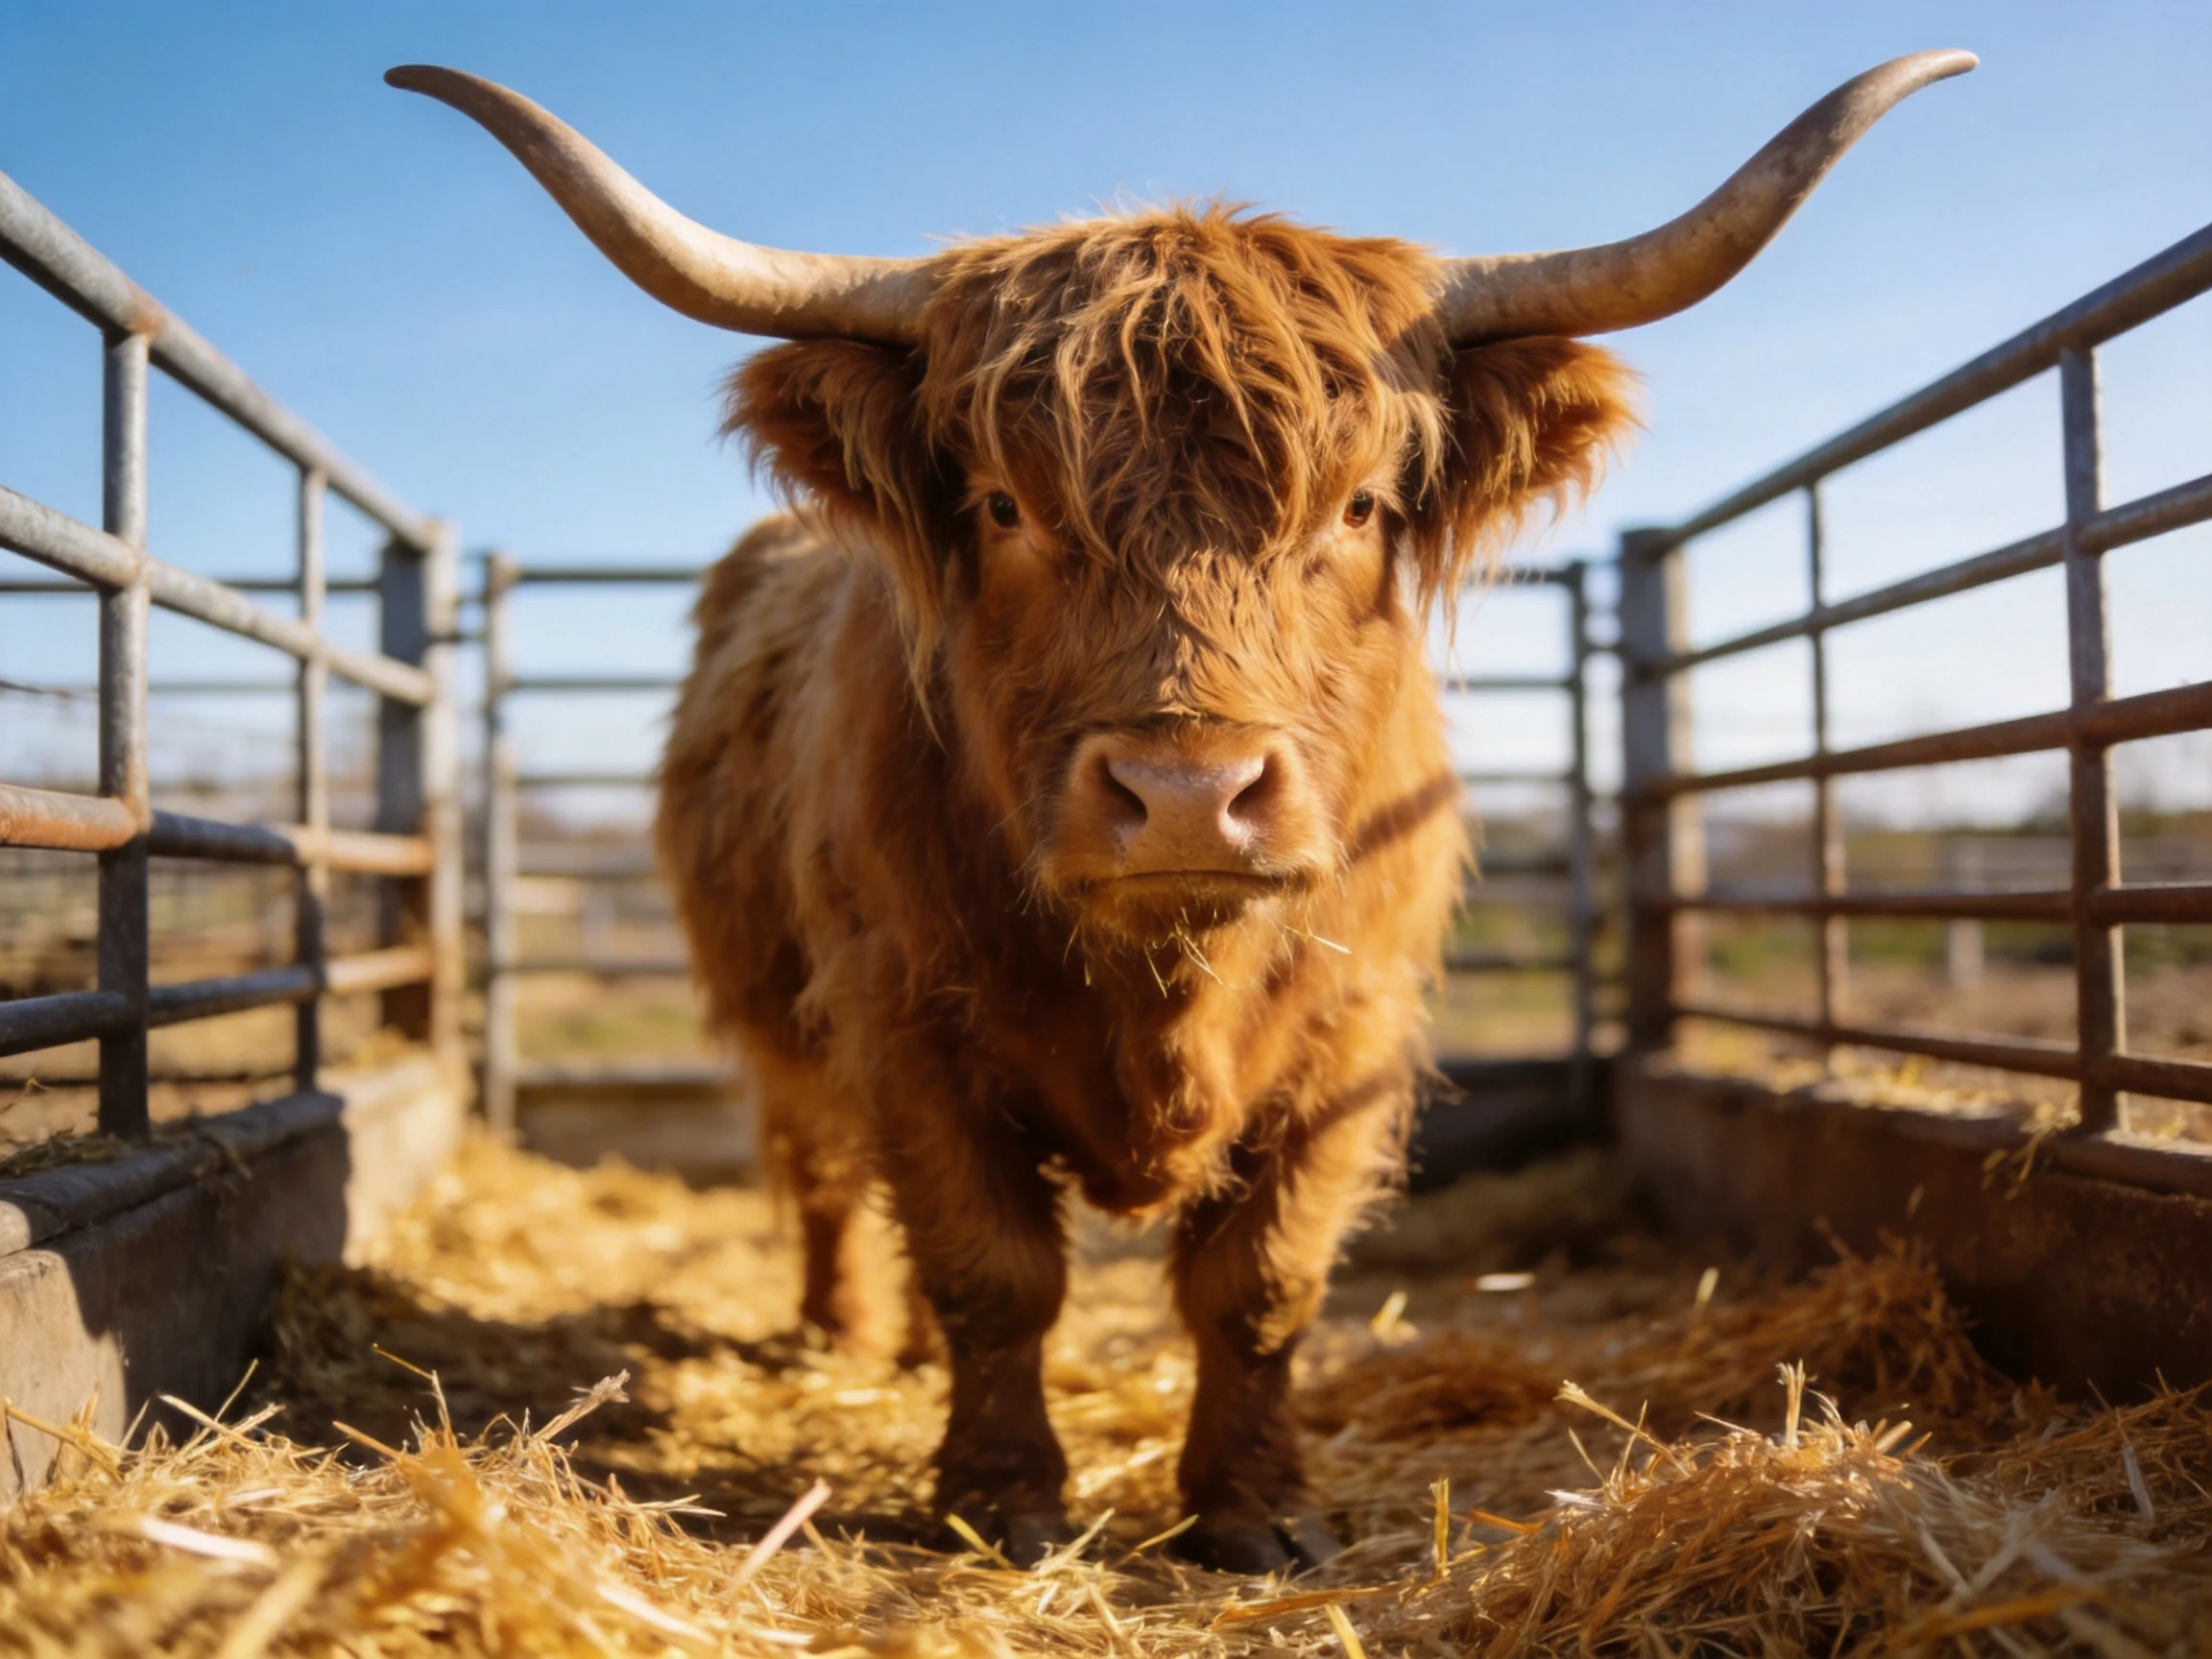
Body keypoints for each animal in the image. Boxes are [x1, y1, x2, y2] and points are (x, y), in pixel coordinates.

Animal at [392, 50, 1972, 1573]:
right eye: (1003, 504)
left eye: (1358, 507)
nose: (1188, 797)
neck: (1167, 988)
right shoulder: (902, 1015)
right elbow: (991, 1269)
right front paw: (1002, 1501)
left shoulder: (1352, 1036)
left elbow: (1260, 1284)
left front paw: (1255, 1512)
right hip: (780, 1010)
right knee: (823, 1170)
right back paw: (846, 1338)